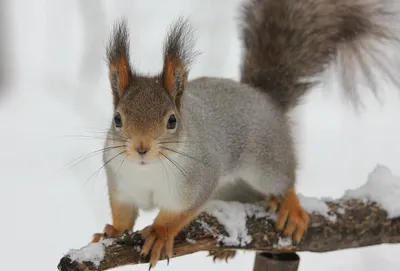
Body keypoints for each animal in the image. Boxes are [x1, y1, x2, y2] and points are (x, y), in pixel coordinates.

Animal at [90, 0, 400, 268]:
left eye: (172, 121)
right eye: (117, 119)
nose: (141, 147)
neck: (148, 170)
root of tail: (263, 98)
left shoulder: (198, 181)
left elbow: (178, 214)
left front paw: (159, 233)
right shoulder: (121, 185)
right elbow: (123, 213)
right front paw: (110, 231)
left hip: (266, 163)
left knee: (285, 178)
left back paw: (290, 208)